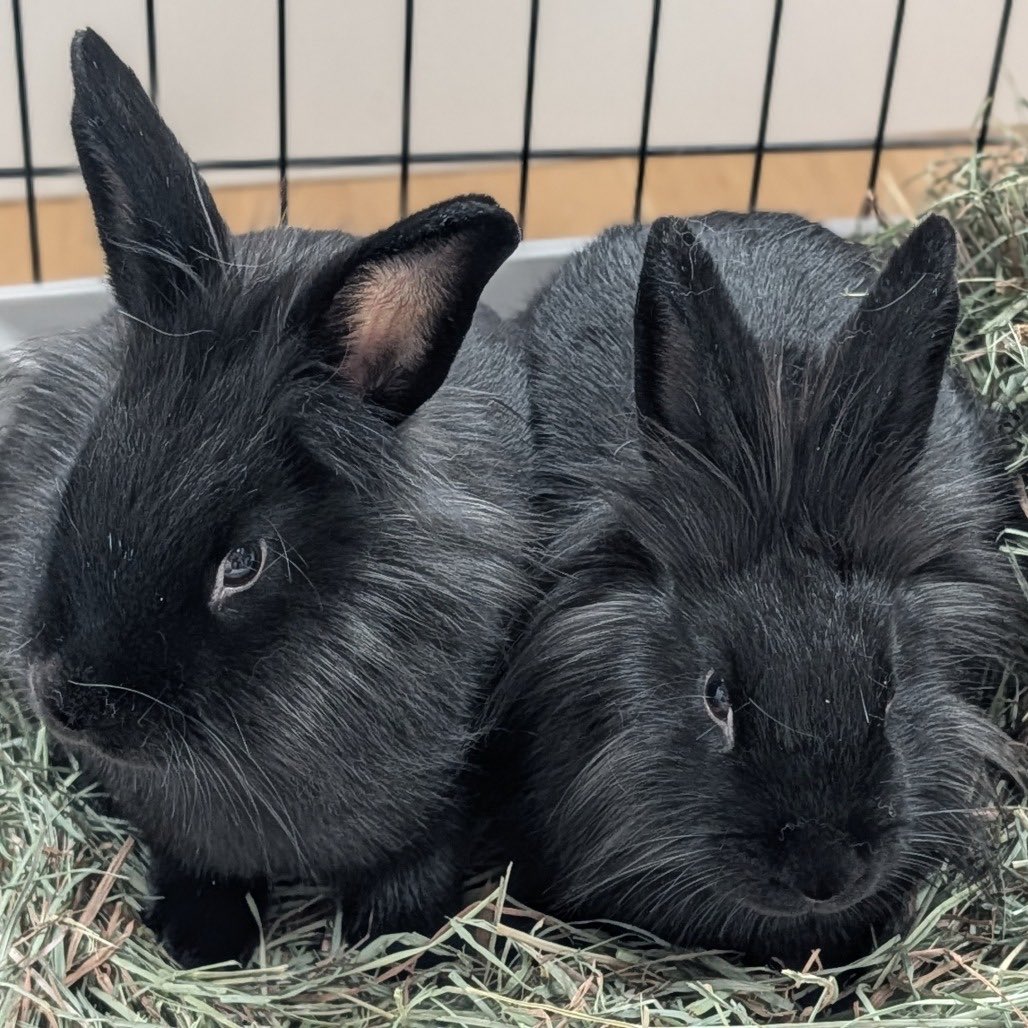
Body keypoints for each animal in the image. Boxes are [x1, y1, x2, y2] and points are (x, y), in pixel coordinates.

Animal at [0, 29, 533, 969]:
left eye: (243, 564)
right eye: (80, 476)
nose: (74, 704)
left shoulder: (450, 798)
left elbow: (422, 859)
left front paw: (393, 938)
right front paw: (203, 939)